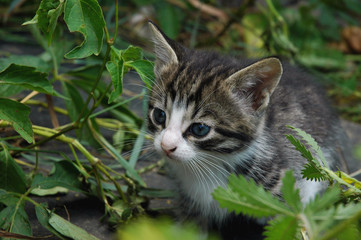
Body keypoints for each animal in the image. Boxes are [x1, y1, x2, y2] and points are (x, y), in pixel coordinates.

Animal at [146, 21, 346, 239]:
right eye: (159, 116)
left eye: (199, 129)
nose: (166, 145)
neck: (210, 166)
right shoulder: (190, 203)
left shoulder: (285, 195)